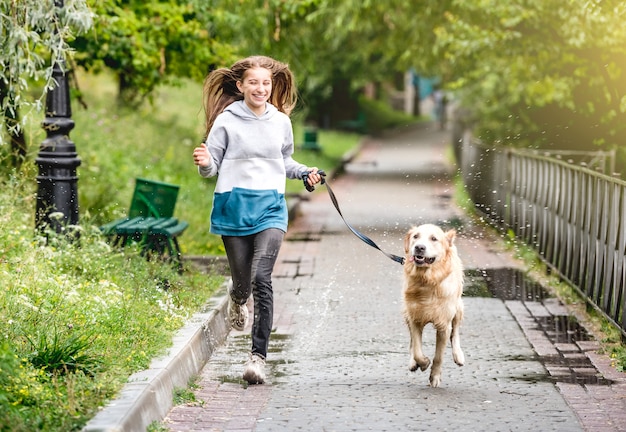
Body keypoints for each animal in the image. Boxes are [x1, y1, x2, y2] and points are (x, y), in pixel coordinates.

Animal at [400, 224, 464, 386]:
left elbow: (439, 356)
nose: (419, 247)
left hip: (458, 307)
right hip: (406, 311)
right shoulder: (415, 317)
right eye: (416, 236)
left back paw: (458, 355)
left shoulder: (444, 325)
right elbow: (417, 349)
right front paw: (423, 363)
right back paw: (413, 362)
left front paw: (434, 377)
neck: (427, 281)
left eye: (434, 239)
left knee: (456, 332)